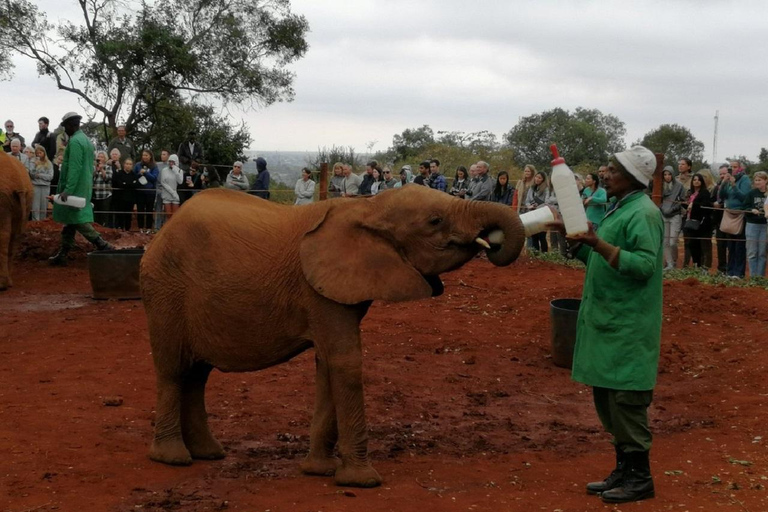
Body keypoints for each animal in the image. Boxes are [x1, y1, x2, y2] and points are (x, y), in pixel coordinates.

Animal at [141, 185, 524, 488]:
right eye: (435, 221)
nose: (493, 243)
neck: (369, 206)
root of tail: (162, 232)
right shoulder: (319, 291)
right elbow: (345, 362)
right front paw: (361, 481)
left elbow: (327, 364)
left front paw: (319, 471)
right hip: (165, 291)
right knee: (174, 371)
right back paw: (173, 458)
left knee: (197, 374)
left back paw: (208, 453)